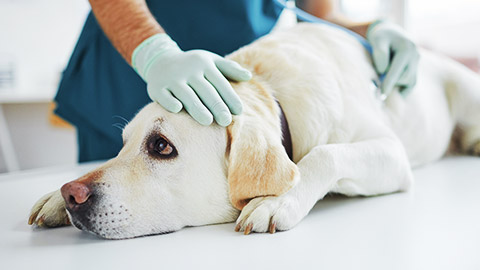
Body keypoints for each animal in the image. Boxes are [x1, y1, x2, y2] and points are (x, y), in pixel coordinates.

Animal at [28, 22, 480, 238]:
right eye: (121, 146)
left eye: (161, 146)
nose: (72, 194)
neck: (269, 90)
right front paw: (54, 198)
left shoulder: (391, 153)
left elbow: (324, 153)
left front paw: (275, 201)